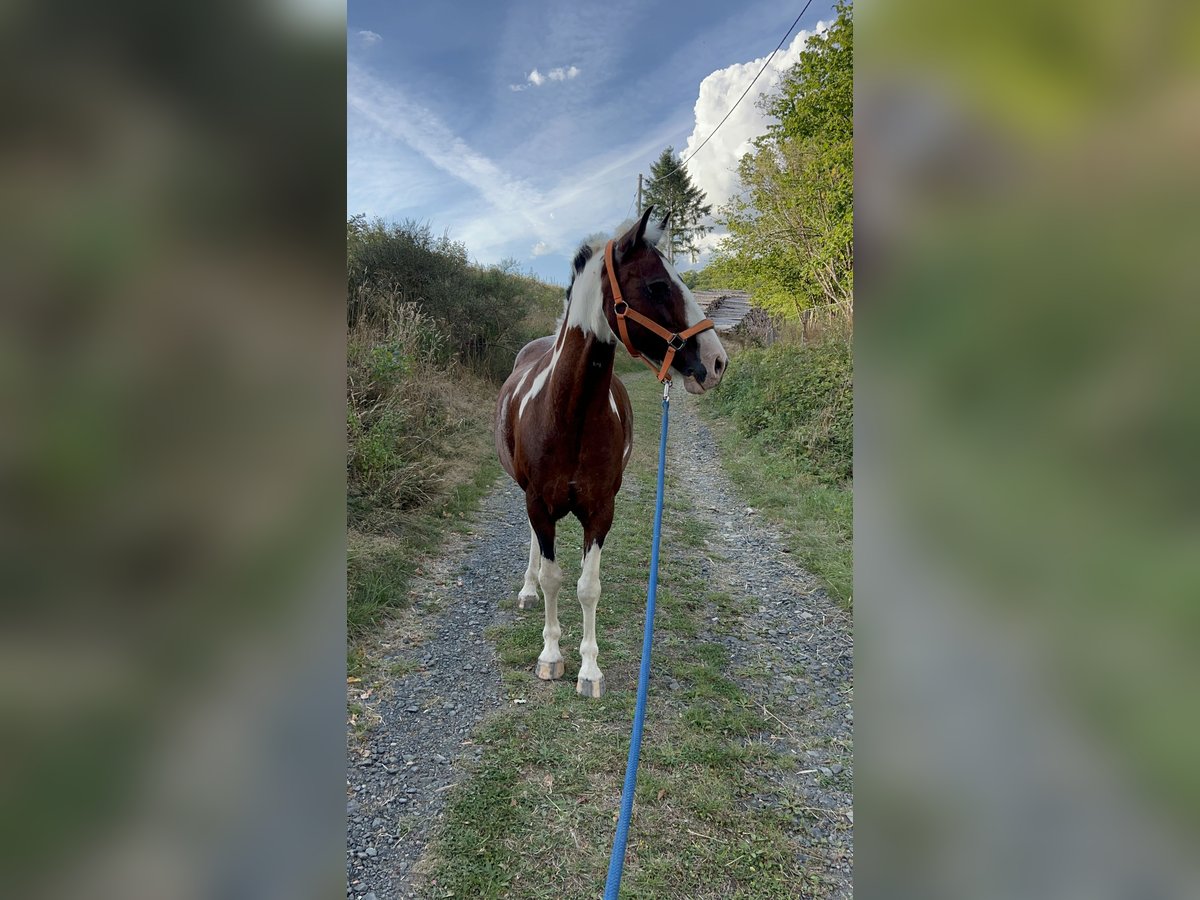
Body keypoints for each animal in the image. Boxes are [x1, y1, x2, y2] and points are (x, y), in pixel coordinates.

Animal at [489, 207, 729, 700]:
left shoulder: (600, 511)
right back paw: (527, 591)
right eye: (656, 285)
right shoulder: (538, 503)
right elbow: (553, 577)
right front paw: (550, 656)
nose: (717, 362)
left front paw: (589, 670)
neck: (568, 415)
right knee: (534, 546)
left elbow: (587, 587)